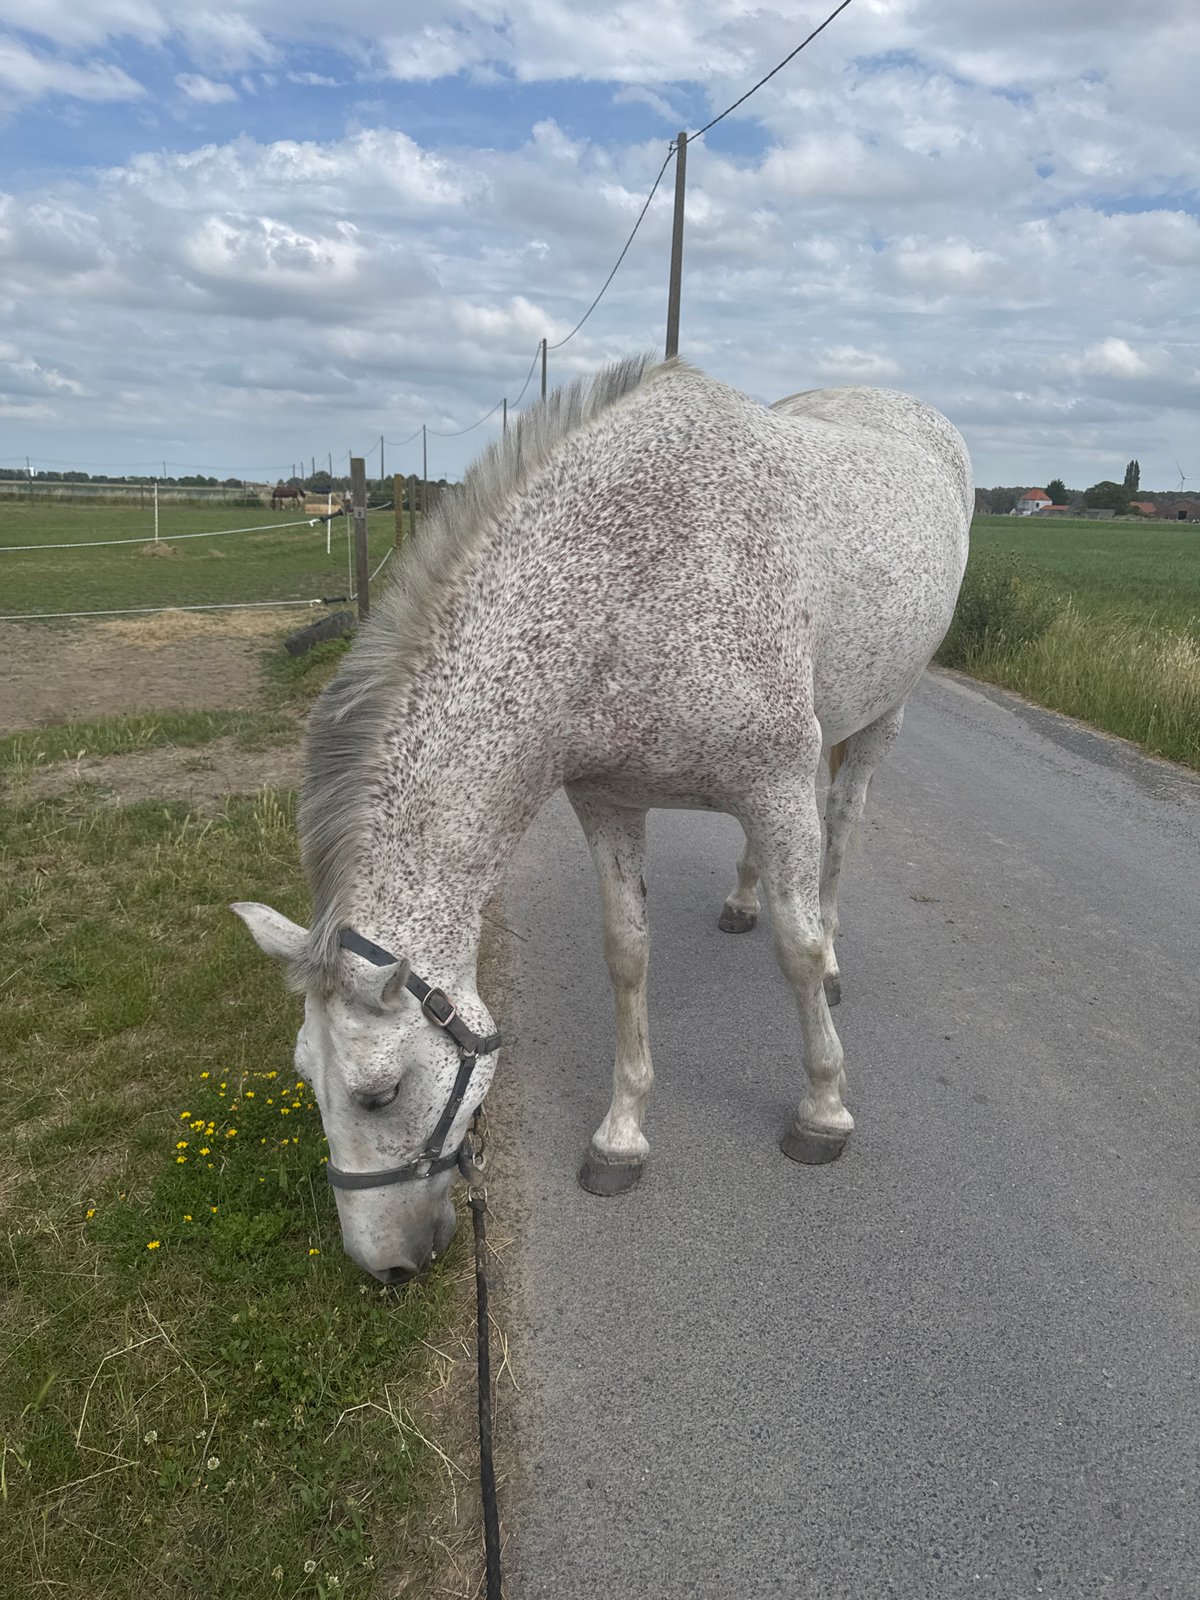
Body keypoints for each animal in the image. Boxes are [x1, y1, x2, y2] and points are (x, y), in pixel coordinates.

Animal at [234, 356, 972, 1283]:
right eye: (304, 1078)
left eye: (381, 1093)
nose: (385, 1268)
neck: (632, 582)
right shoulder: (611, 802)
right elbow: (627, 956)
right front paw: (621, 1137)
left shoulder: (773, 784)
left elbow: (798, 952)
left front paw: (823, 1108)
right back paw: (742, 900)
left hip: (880, 718)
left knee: (841, 827)